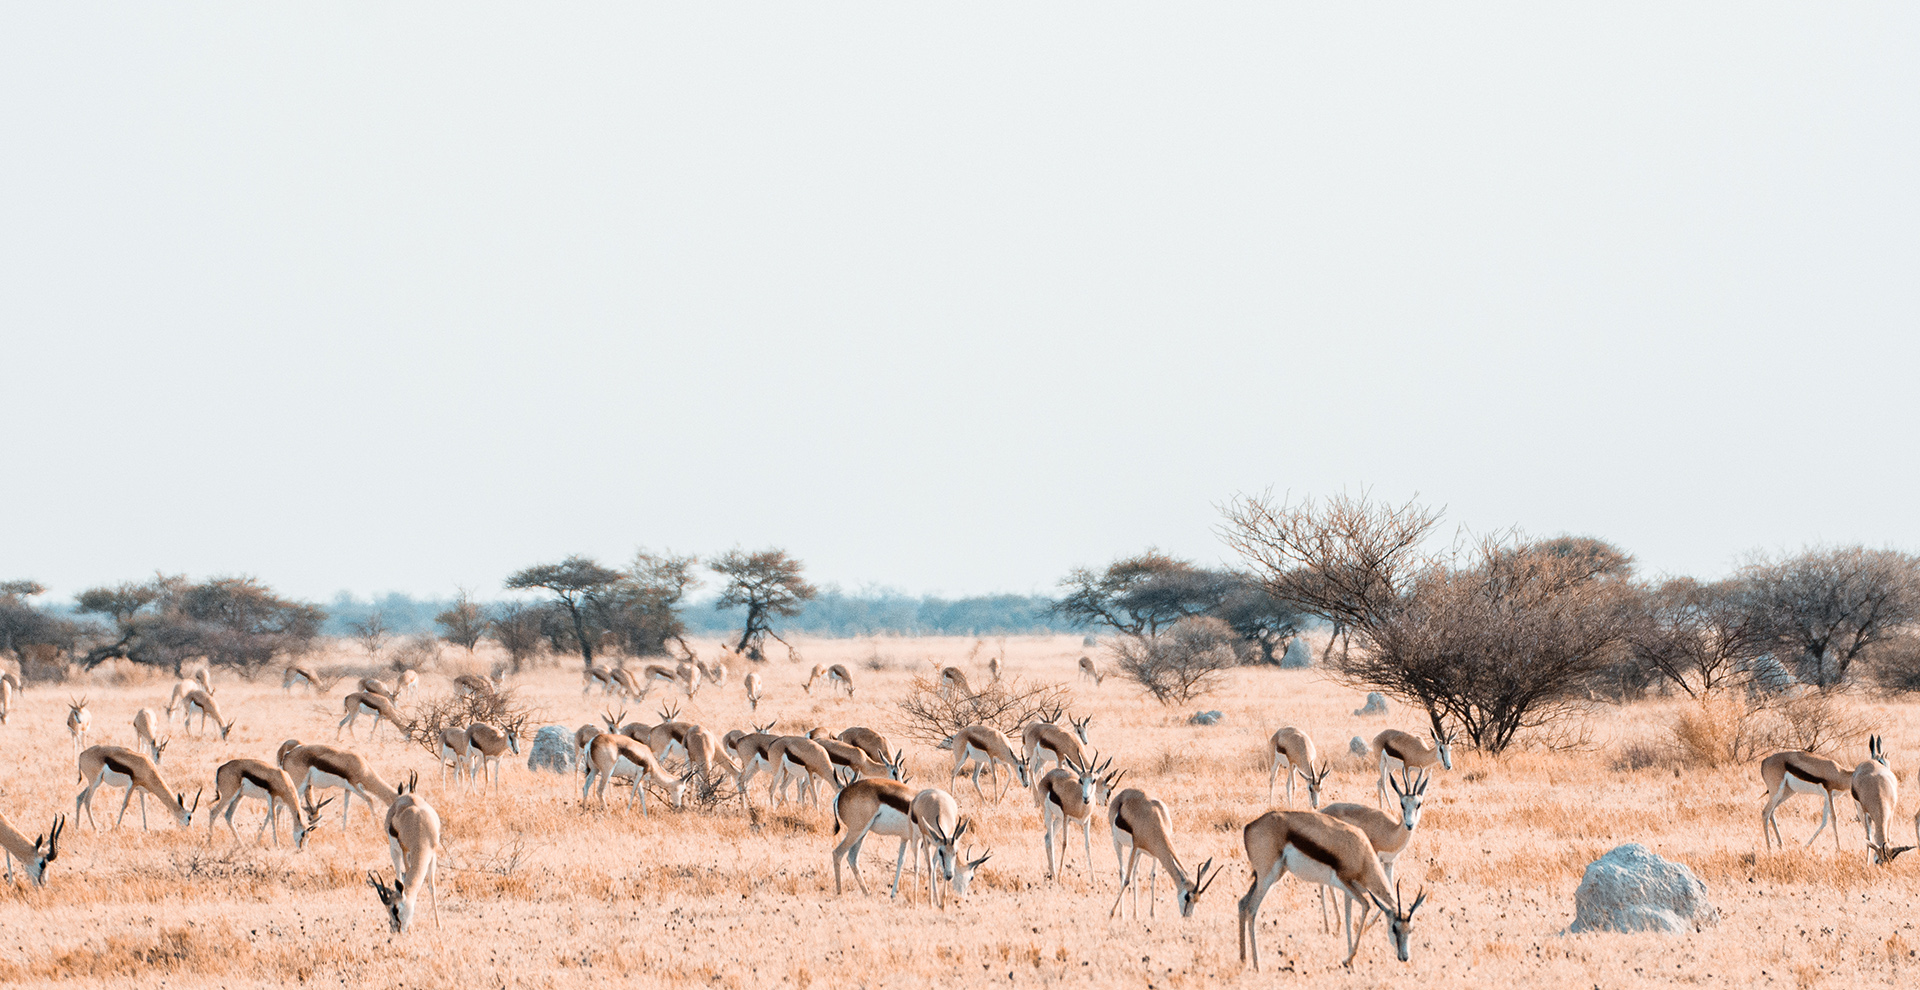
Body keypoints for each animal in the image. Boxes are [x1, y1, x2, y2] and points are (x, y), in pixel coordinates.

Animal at [368, 778, 443, 932]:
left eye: (395, 909)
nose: (395, 929)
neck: (419, 825)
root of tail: (405, 795)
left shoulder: (432, 854)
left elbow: (431, 887)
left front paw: (439, 925)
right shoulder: (405, 851)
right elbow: (407, 877)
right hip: (394, 851)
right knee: (398, 874)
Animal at [1036, 755, 1121, 886]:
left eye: (1093, 780)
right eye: (1080, 780)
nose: (1086, 798)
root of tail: (1049, 774)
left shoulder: (1086, 822)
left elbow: (1088, 845)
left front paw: (1094, 879)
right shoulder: (1067, 818)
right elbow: (1065, 844)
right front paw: (1060, 877)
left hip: (1059, 819)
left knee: (1047, 838)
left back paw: (1051, 874)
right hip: (1049, 814)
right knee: (1050, 840)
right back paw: (1054, 875)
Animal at [1113, 790, 1213, 920]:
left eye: (1197, 900)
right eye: (1187, 897)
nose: (1187, 916)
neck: (1154, 818)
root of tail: (1124, 793)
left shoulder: (1155, 852)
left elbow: (1153, 876)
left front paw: (1152, 914)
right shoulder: (1135, 847)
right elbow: (1126, 880)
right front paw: (1111, 913)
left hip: (1139, 853)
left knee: (1135, 872)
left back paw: (1135, 915)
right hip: (1118, 843)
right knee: (1122, 872)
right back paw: (1121, 914)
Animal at [1244, 813, 1428, 966]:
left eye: (1410, 929)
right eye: (1394, 928)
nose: (1404, 957)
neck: (1361, 854)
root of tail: (1249, 826)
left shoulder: (1350, 890)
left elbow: (1348, 917)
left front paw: (1348, 958)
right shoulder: (1345, 883)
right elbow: (1366, 906)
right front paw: (1349, 959)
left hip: (1268, 877)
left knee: (1242, 903)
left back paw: (1243, 960)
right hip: (1267, 877)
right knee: (1251, 909)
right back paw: (1256, 965)